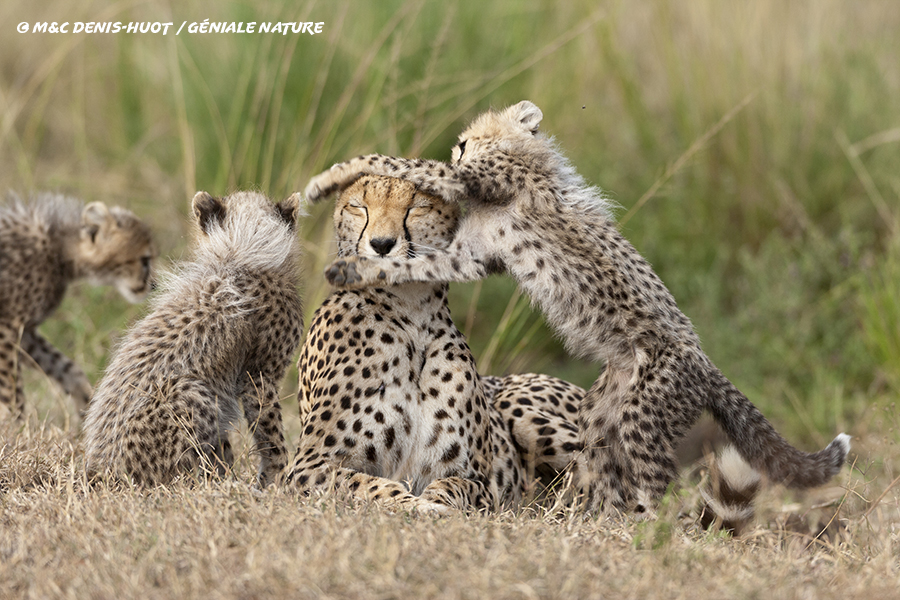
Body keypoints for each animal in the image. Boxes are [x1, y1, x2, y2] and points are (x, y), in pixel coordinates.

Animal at [0, 192, 155, 418]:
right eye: (144, 260)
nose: (153, 284)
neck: (58, 248)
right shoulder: (7, 327)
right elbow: (12, 392)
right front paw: (15, 424)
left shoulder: (25, 332)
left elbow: (67, 368)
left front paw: (86, 405)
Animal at [84, 192, 302, 488]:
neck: (238, 250)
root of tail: (99, 471)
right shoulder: (259, 376)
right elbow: (271, 434)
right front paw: (274, 479)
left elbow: (224, 449)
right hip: (192, 390)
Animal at [284, 175, 588, 510]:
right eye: (359, 206)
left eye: (417, 206)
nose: (381, 244)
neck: (411, 312)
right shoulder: (308, 467)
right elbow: (368, 485)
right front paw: (416, 505)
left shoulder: (480, 481)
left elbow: (453, 486)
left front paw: (434, 503)